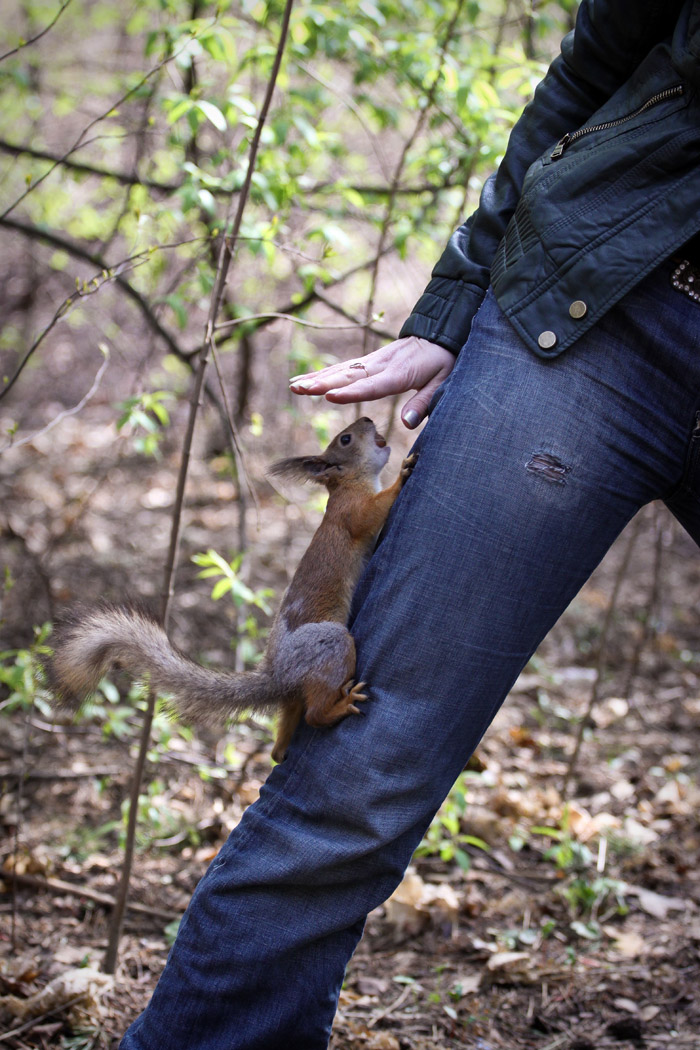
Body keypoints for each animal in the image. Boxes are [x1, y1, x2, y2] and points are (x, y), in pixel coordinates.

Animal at [54, 417, 419, 764]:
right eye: (346, 439)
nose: (368, 418)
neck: (349, 482)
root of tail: (280, 676)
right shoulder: (350, 513)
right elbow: (372, 512)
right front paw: (403, 473)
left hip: (297, 690)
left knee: (291, 717)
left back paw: (280, 750)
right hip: (328, 644)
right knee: (314, 714)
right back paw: (338, 708)